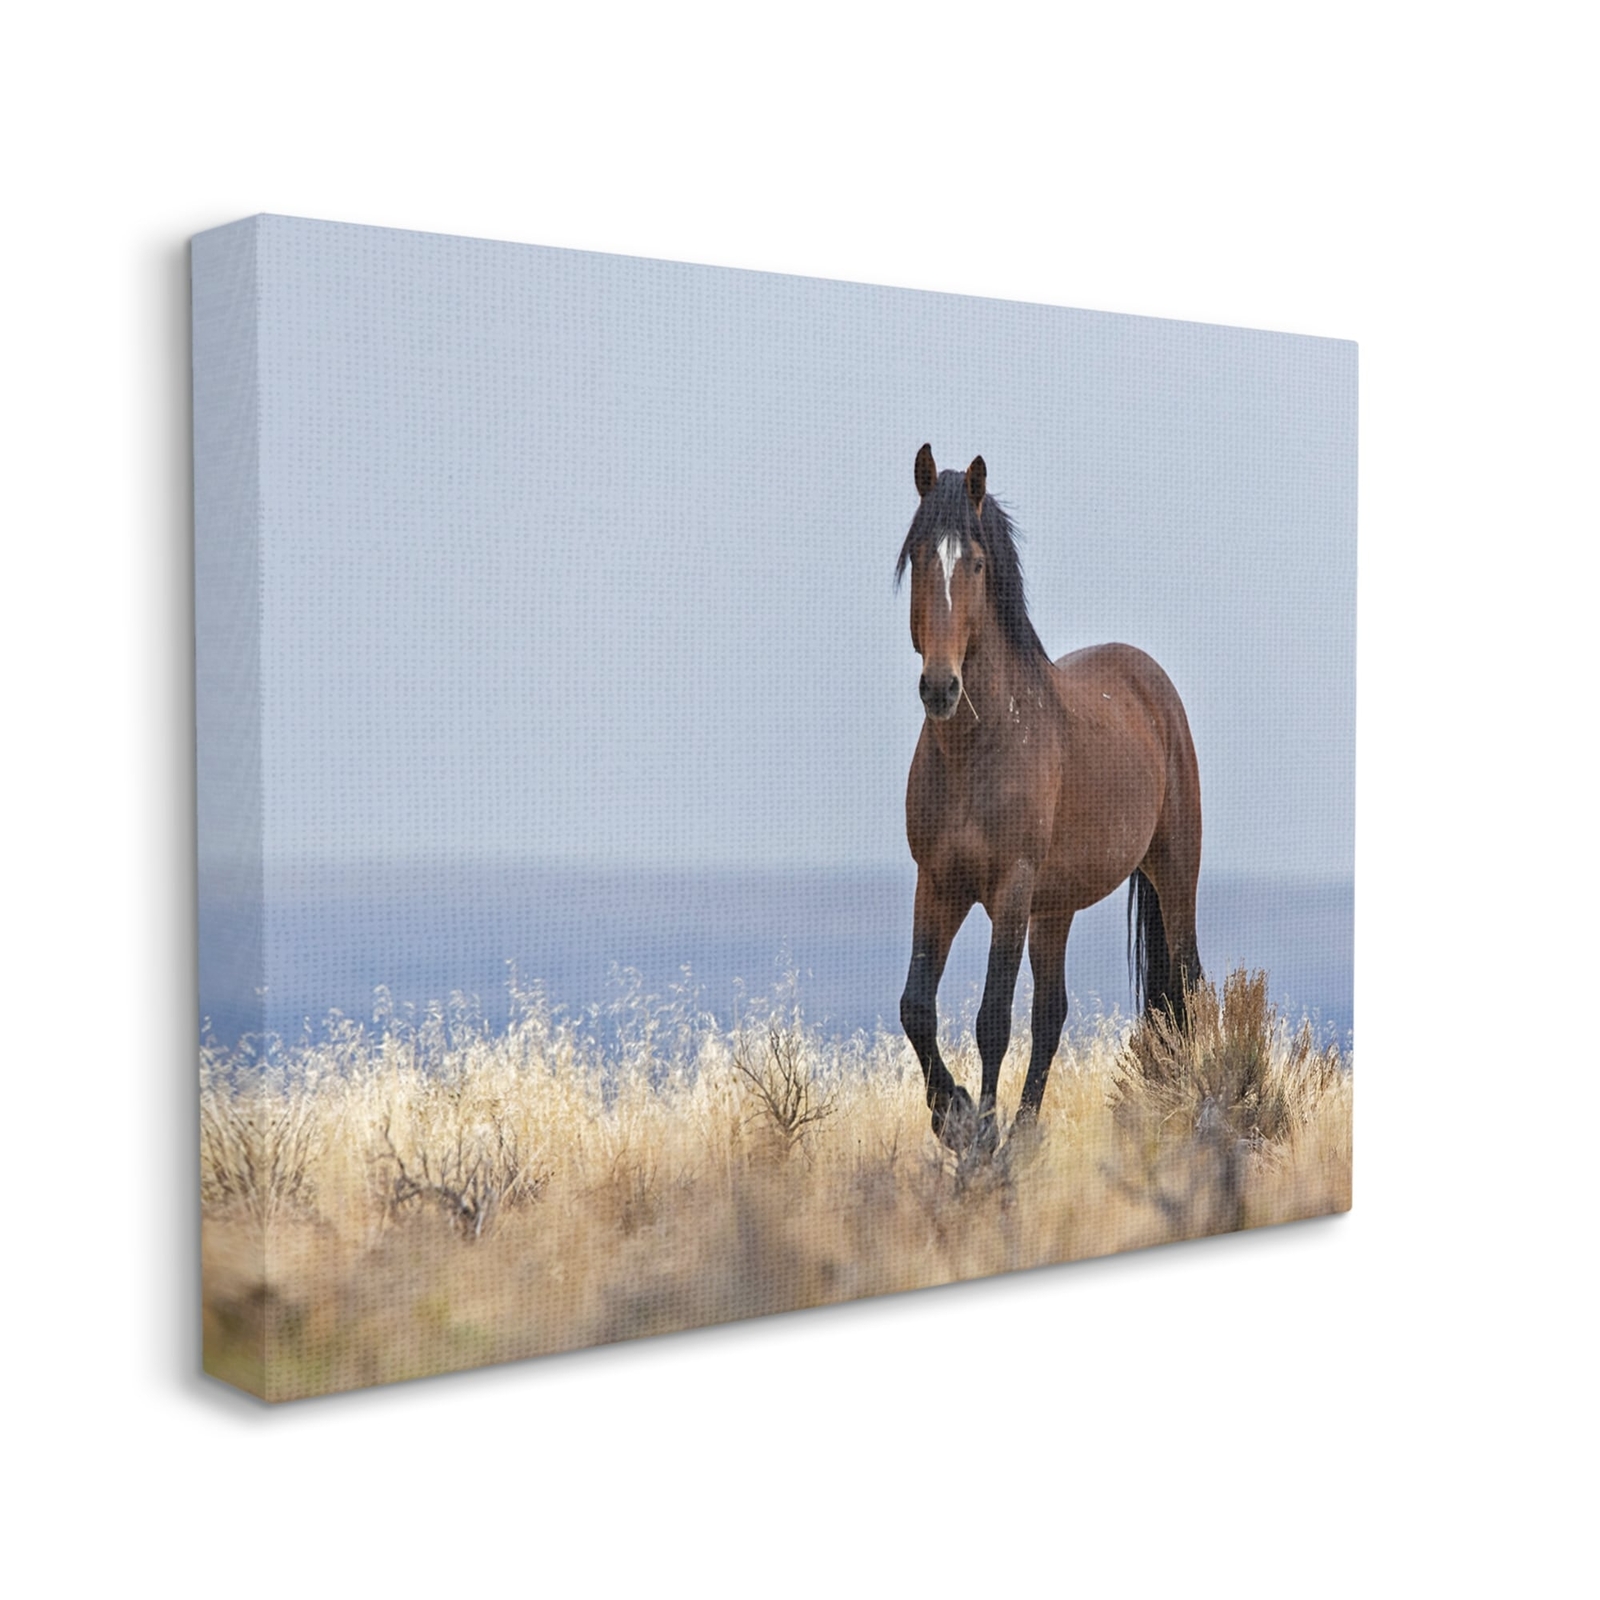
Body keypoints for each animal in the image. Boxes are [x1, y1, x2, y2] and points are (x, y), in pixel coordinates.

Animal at [896, 444, 1203, 1155]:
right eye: (920, 555)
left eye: (976, 563)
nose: (940, 688)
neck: (978, 749)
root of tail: (1152, 683)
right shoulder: (938, 884)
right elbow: (916, 1006)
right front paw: (953, 1114)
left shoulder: (1010, 888)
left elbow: (991, 1019)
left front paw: (980, 1137)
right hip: (1054, 909)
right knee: (1051, 1014)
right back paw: (1027, 1135)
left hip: (1173, 875)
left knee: (1183, 989)